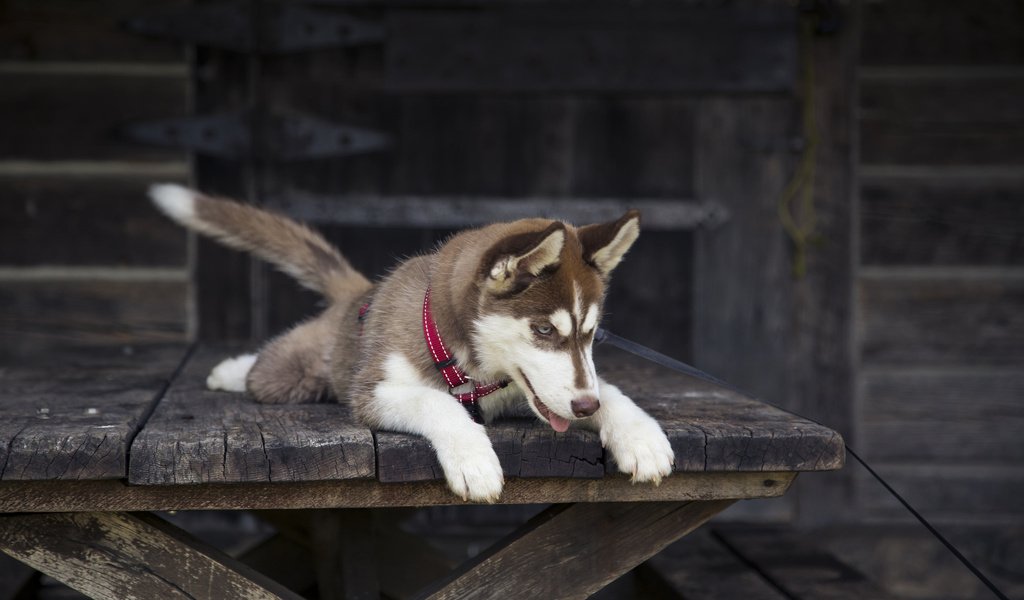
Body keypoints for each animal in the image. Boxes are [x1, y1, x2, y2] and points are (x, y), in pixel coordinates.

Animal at [151, 183, 675, 499]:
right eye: (544, 330)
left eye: (590, 334)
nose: (585, 408)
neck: (467, 363)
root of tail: (360, 293)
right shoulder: (373, 392)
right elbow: (435, 402)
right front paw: (473, 459)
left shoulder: (539, 391)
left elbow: (609, 390)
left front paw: (640, 435)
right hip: (290, 375)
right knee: (270, 367)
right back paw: (232, 369)